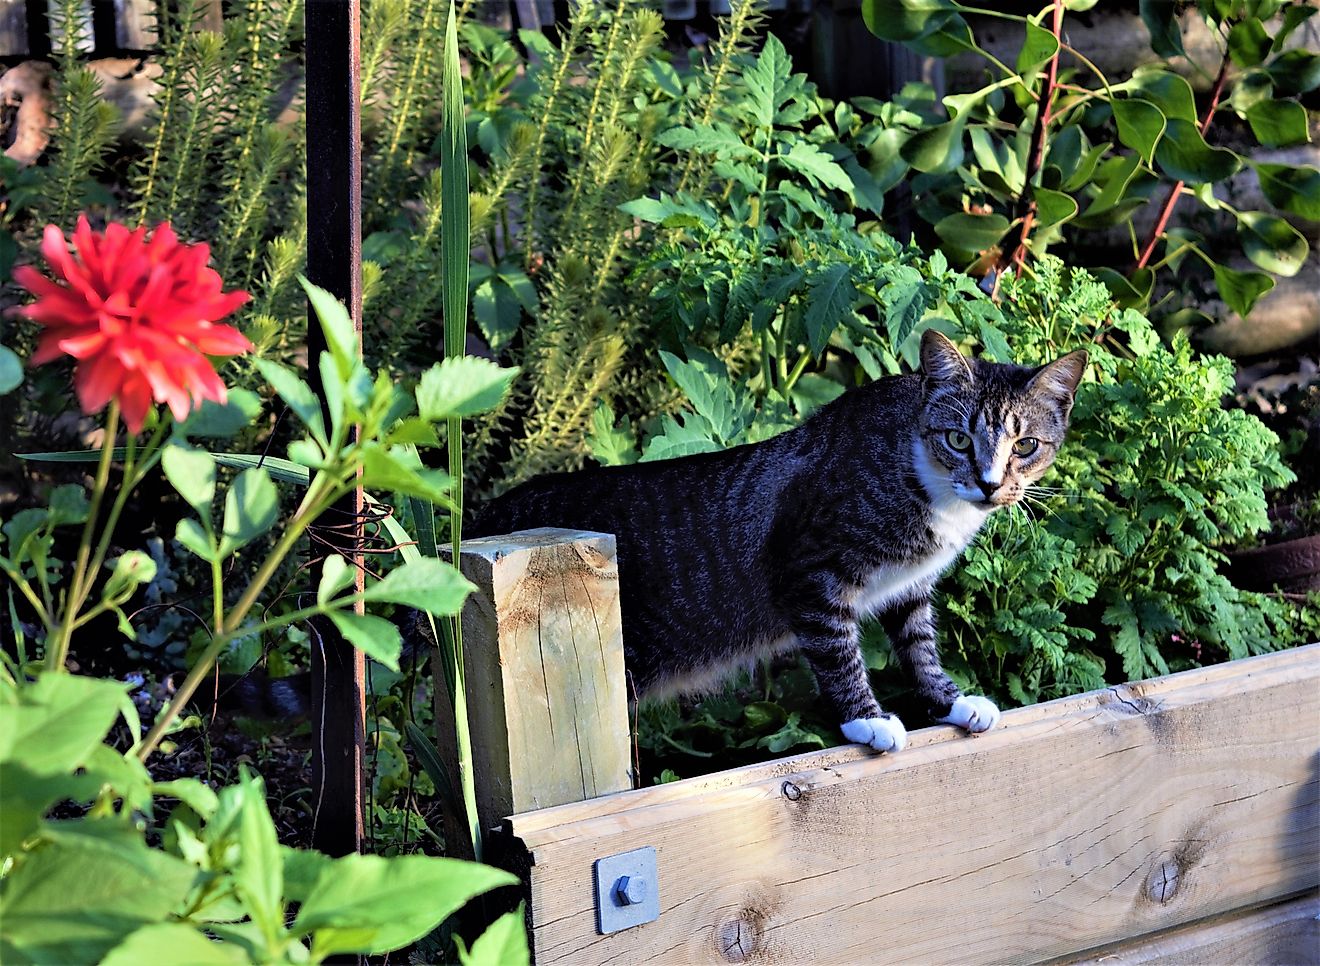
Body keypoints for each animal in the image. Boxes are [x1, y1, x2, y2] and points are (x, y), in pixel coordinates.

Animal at [469, 332, 1087, 754]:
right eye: (958, 438)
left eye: (1026, 445)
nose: (989, 483)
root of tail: (483, 519)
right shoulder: (811, 574)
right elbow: (838, 650)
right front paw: (869, 719)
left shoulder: (909, 588)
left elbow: (919, 646)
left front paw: (952, 703)